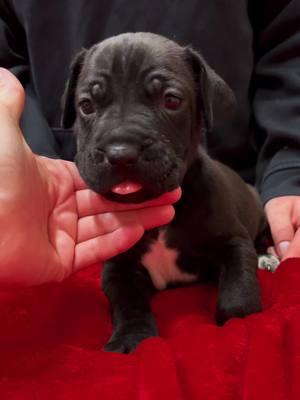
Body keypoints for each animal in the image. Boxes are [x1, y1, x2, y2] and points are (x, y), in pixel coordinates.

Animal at [61, 33, 268, 354]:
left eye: (171, 100)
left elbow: (239, 286)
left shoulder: (233, 241)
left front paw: (242, 323)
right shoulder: (119, 267)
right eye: (86, 105)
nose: (121, 153)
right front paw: (131, 338)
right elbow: (127, 304)